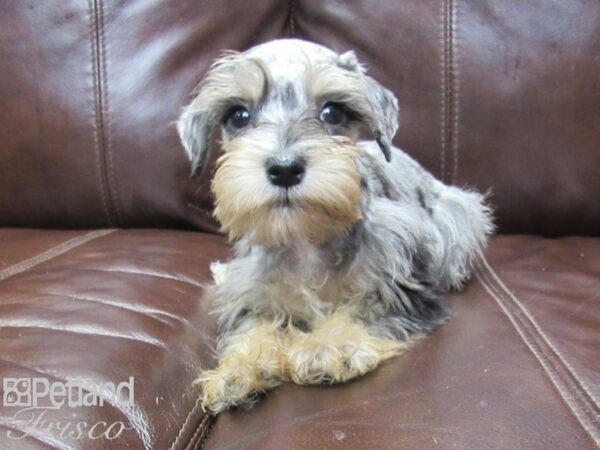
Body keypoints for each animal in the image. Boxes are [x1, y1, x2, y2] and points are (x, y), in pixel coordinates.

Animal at [176, 39, 494, 414]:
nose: (284, 168)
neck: (305, 238)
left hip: (456, 213)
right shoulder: (252, 294)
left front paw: (327, 347)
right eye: (238, 116)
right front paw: (238, 370)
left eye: (333, 112)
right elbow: (250, 328)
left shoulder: (399, 289)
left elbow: (361, 311)